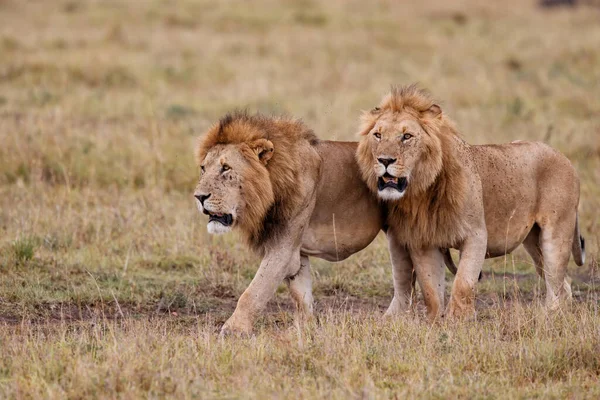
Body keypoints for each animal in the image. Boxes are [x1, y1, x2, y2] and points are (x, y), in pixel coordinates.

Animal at [356, 84, 584, 318]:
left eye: (406, 136)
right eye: (378, 135)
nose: (384, 160)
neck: (423, 193)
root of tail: (562, 156)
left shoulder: (476, 235)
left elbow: (463, 283)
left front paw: (458, 320)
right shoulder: (424, 241)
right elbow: (431, 291)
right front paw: (435, 321)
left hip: (556, 235)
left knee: (556, 281)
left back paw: (548, 315)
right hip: (533, 241)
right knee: (562, 285)